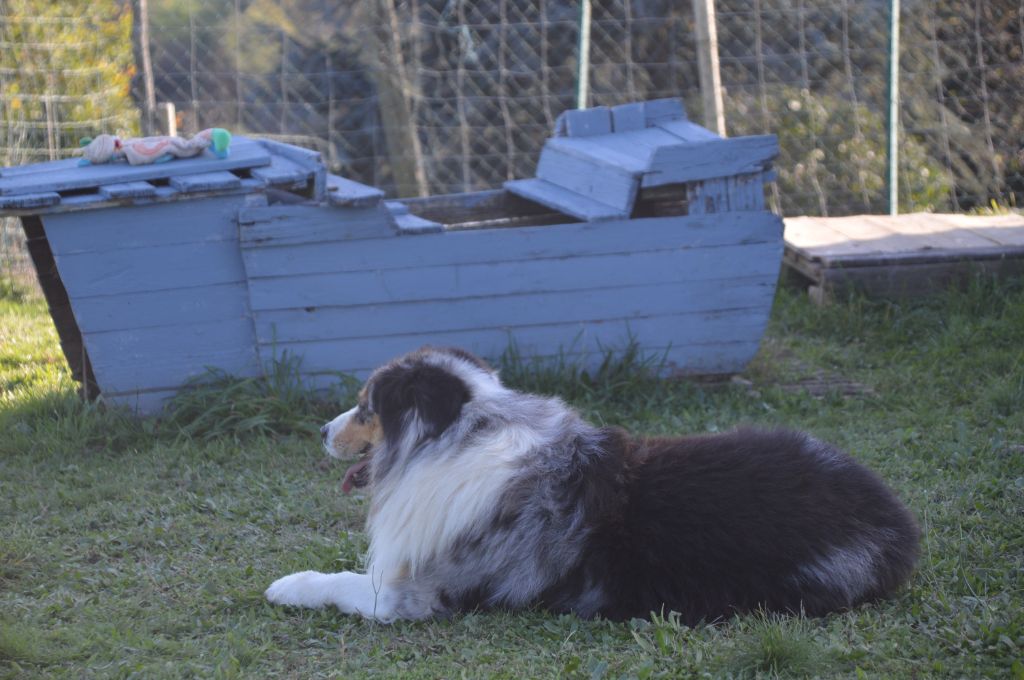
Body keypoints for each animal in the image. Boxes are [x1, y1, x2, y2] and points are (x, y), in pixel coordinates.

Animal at [264, 348, 921, 622]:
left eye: (365, 408)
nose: (320, 431)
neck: (459, 437)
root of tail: (896, 522)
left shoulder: (421, 593)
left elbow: (338, 581)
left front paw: (285, 586)